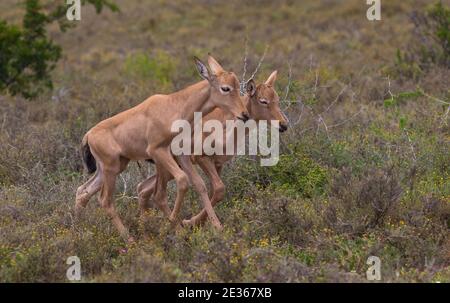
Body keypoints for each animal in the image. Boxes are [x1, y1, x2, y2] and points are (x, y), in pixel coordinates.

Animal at [75, 54, 248, 240]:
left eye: (237, 85)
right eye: (225, 88)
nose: (244, 114)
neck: (173, 105)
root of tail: (89, 134)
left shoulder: (180, 154)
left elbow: (198, 184)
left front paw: (214, 227)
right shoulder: (157, 151)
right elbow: (181, 181)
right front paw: (174, 224)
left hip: (114, 167)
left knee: (83, 192)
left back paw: (78, 229)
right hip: (111, 169)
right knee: (105, 200)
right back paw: (129, 239)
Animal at [137, 71, 288, 228]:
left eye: (277, 99)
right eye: (263, 100)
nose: (284, 125)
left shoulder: (218, 163)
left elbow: (215, 191)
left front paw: (193, 221)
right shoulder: (202, 158)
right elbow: (218, 189)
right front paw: (200, 223)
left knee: (143, 188)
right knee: (157, 194)